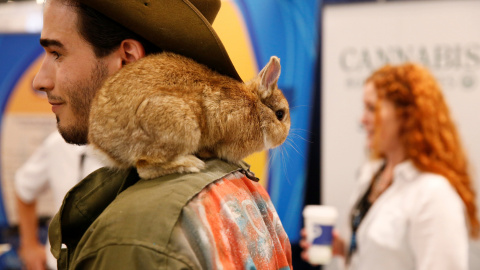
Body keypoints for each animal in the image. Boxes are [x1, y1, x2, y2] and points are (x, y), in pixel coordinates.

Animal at [88, 52, 290, 179]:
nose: (284, 138)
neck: (256, 108)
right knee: (145, 168)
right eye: (280, 114)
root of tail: (102, 143)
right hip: (179, 125)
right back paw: (191, 164)